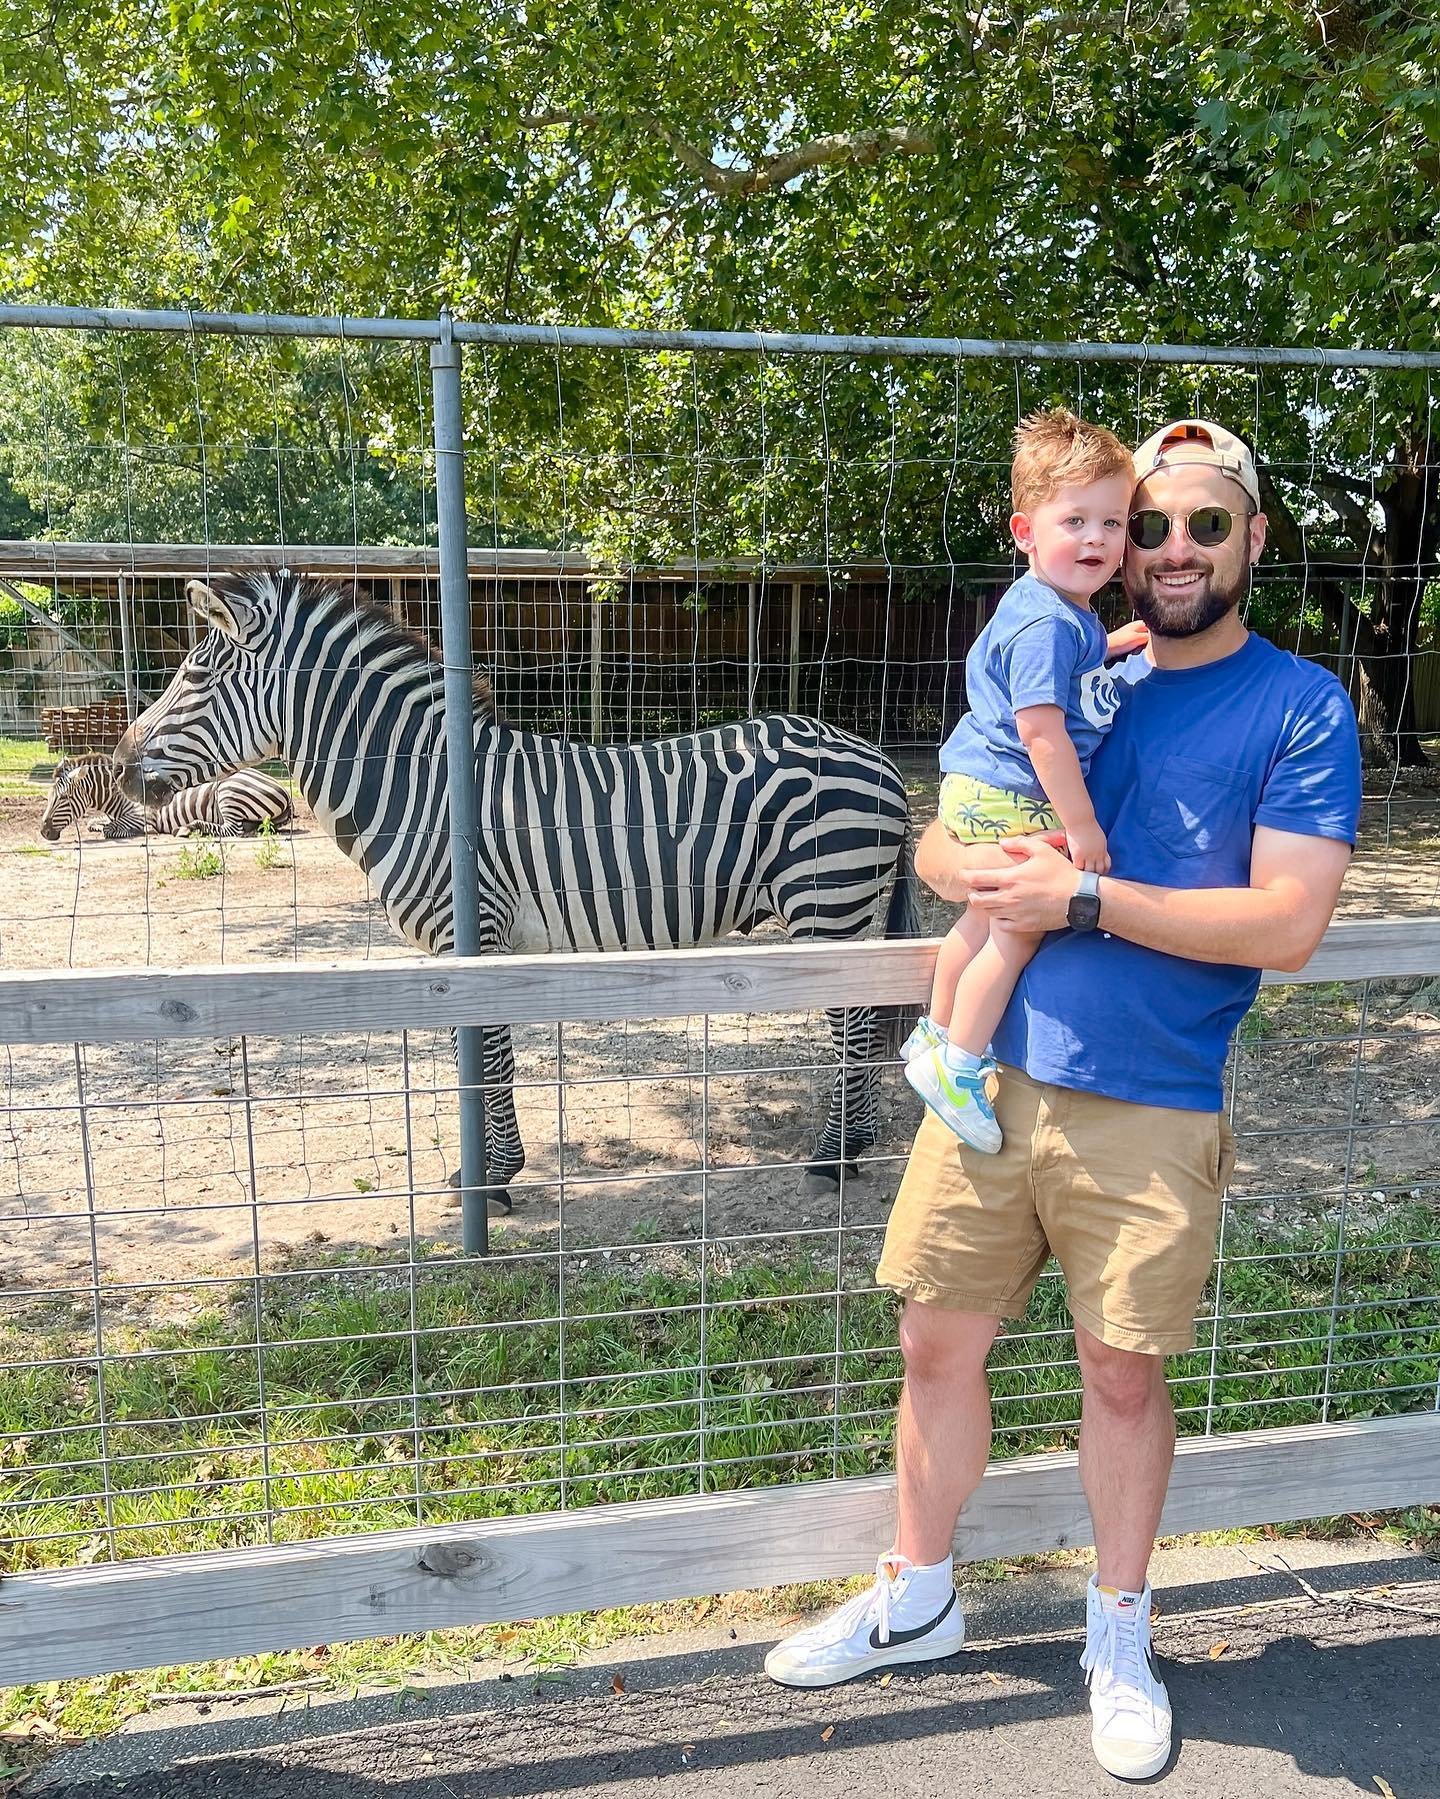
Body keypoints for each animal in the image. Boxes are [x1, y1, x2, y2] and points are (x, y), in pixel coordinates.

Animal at [39, 755, 293, 845]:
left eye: (63, 798)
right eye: (50, 797)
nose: (43, 832)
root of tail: (285, 792)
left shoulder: (143, 817)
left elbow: (111, 829)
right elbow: (96, 822)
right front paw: (97, 823)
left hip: (228, 793)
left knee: (234, 830)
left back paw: (188, 828)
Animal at [117, 572, 918, 1208]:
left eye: (195, 676)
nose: (119, 770)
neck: (425, 791)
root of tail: (871, 751)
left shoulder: (471, 933)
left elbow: (488, 1058)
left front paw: (492, 1180)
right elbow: (479, 1056)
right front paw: (490, 1171)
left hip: (828, 903)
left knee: (856, 1026)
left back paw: (834, 1157)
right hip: (843, 909)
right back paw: (850, 1147)